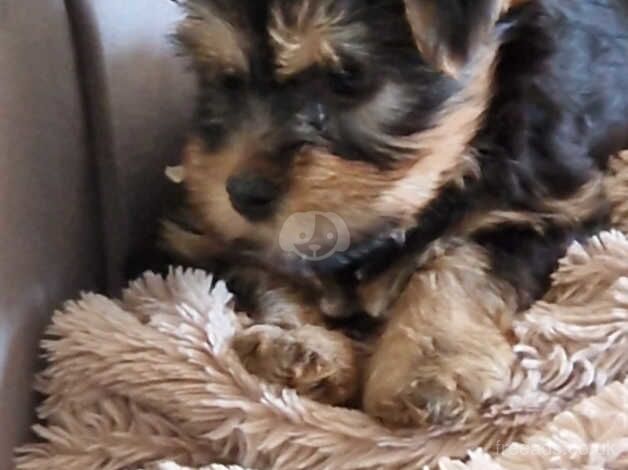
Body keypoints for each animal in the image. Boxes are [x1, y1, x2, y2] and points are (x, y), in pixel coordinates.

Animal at [161, 0, 628, 426]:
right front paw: (298, 344)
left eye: (347, 77)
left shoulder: (553, 211)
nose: (243, 194)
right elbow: (266, 273)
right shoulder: (214, 238)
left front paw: (429, 365)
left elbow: (461, 261)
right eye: (225, 79)